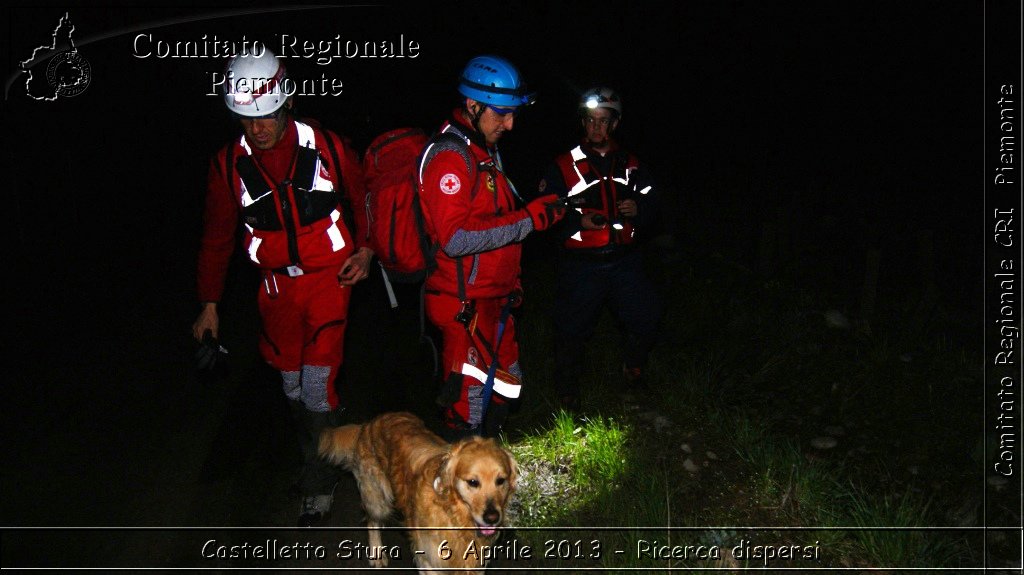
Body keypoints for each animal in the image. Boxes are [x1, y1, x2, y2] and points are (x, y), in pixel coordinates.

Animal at [319, 409, 516, 568]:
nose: (492, 517)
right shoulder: (430, 558)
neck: (453, 513)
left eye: (501, 480)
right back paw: (377, 553)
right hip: (377, 495)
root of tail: (369, 423)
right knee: (372, 520)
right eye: (473, 482)